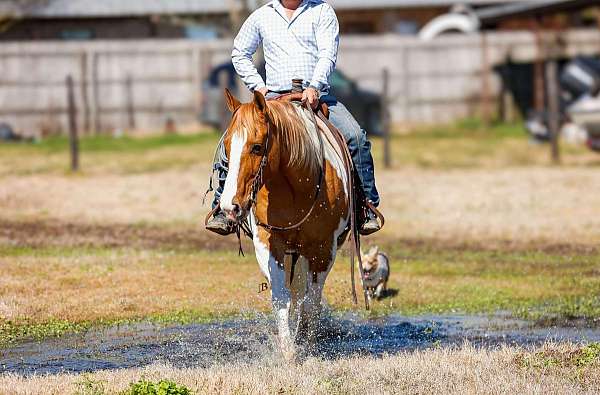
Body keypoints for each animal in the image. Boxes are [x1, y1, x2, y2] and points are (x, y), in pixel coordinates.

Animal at [218, 88, 350, 360]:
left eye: (257, 147)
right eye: (227, 146)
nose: (229, 207)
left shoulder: (323, 250)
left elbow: (311, 303)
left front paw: (305, 344)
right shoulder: (269, 243)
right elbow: (281, 298)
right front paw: (289, 351)